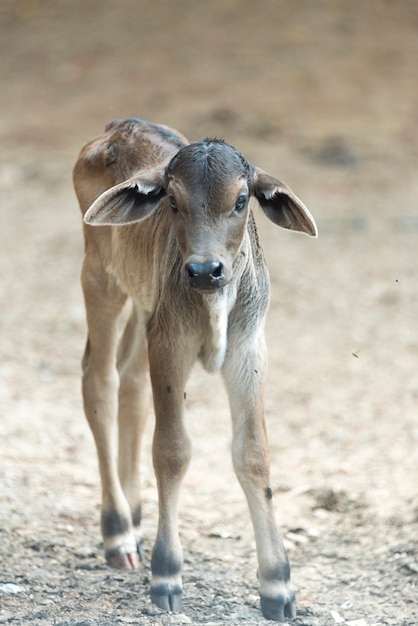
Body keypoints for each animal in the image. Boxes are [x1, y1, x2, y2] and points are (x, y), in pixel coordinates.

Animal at [73, 117, 318, 620]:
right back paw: (118, 531)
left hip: (143, 304)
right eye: (171, 199)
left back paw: (136, 514)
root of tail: (117, 128)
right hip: (100, 278)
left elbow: (254, 454)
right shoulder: (170, 343)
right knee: (99, 381)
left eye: (242, 200)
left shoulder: (248, 348)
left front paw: (278, 584)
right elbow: (172, 450)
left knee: (129, 382)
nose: (205, 270)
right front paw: (167, 573)